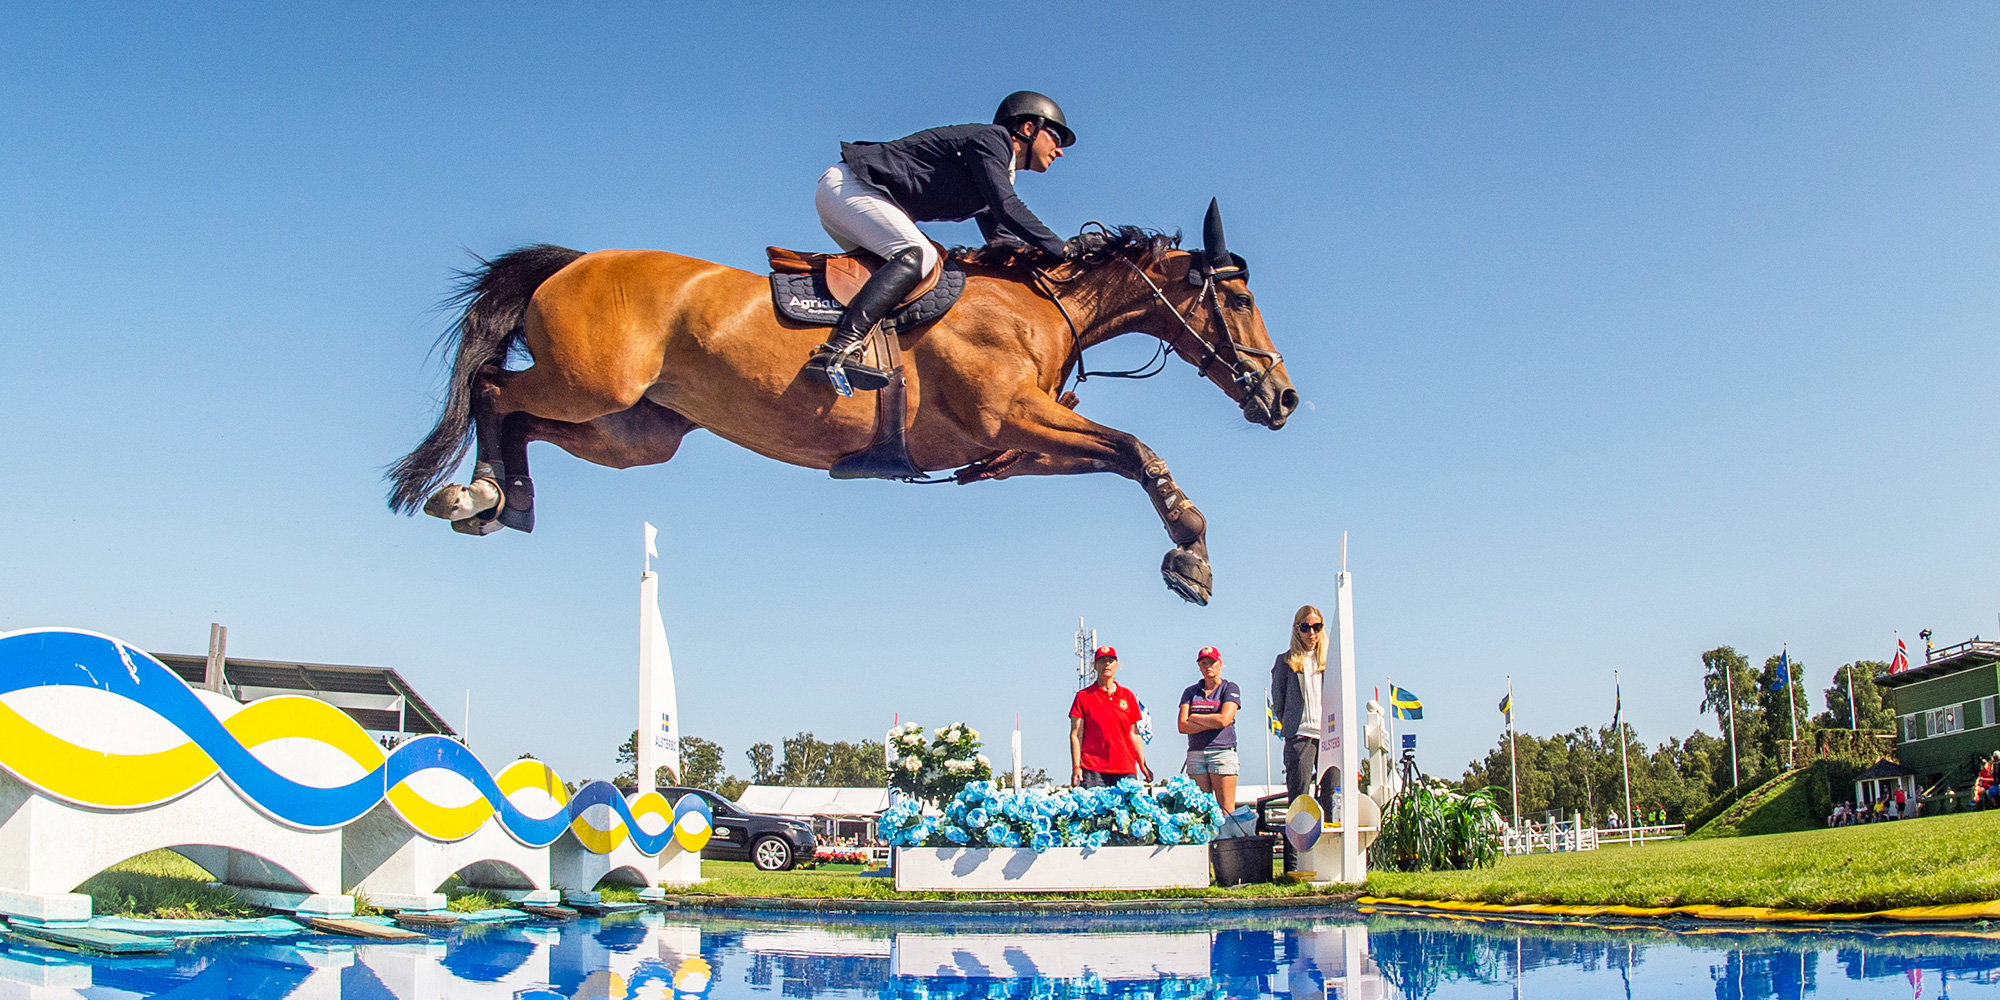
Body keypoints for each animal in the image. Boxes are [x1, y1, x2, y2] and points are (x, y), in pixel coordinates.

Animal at [388, 203, 1296, 600]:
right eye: (1241, 297)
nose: (1283, 397)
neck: (1040, 303)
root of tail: (571, 261)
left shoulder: (1014, 449)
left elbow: (1122, 456)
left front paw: (1190, 548)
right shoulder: (1012, 416)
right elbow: (1138, 451)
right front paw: (1191, 555)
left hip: (634, 429)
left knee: (522, 417)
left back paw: (503, 498)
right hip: (593, 384)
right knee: (492, 388)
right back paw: (474, 490)